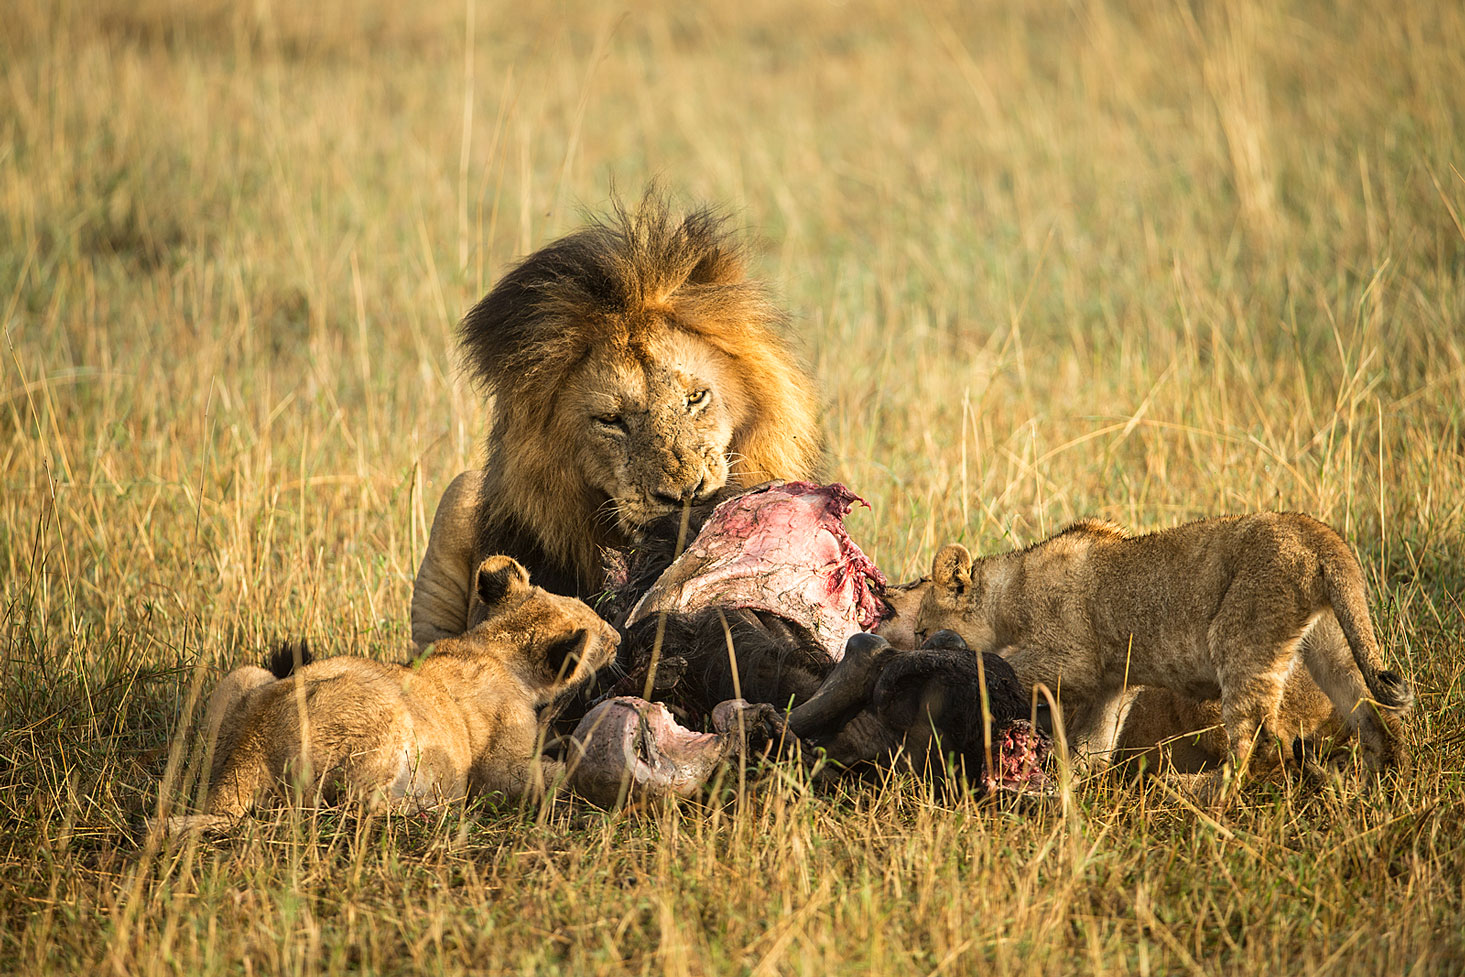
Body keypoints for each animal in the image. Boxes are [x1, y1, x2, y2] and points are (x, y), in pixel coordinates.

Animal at [160, 556, 618, 831]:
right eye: (597, 629)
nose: (617, 636)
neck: (493, 647)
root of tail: (251, 749)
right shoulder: (501, 766)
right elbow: (550, 773)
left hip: (244, 678)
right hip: (387, 721)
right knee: (359, 809)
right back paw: (433, 810)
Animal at [908, 512, 1412, 785]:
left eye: (921, 631)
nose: (916, 642)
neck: (1009, 593)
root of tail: (1319, 536)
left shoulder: (1072, 659)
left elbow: (1002, 663)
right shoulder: (1113, 682)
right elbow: (1094, 744)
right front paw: (1072, 781)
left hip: (1243, 637)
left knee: (1261, 750)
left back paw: (1195, 794)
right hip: (1331, 644)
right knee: (1372, 719)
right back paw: (1369, 785)